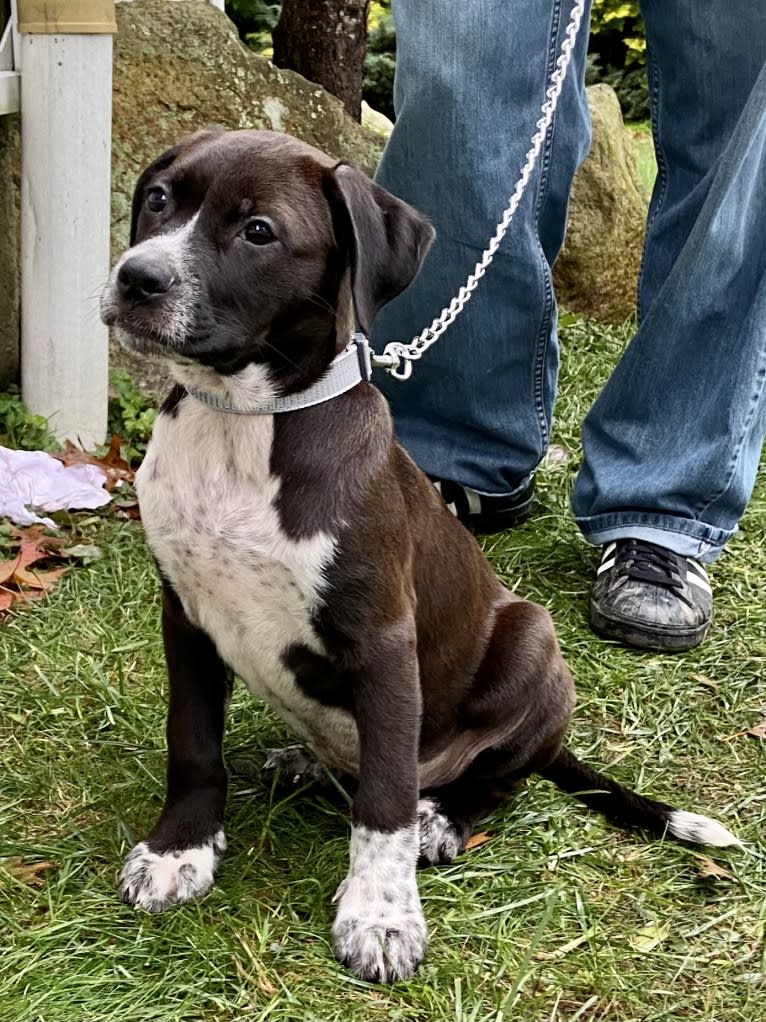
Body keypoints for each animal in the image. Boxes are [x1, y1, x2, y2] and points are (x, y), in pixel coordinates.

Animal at [103, 127, 743, 981]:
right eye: (159, 200)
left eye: (259, 231)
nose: (137, 278)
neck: (242, 422)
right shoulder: (187, 617)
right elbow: (193, 741)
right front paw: (181, 852)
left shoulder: (381, 641)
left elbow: (384, 805)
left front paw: (380, 915)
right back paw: (308, 761)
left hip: (534, 643)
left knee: (494, 776)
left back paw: (442, 818)